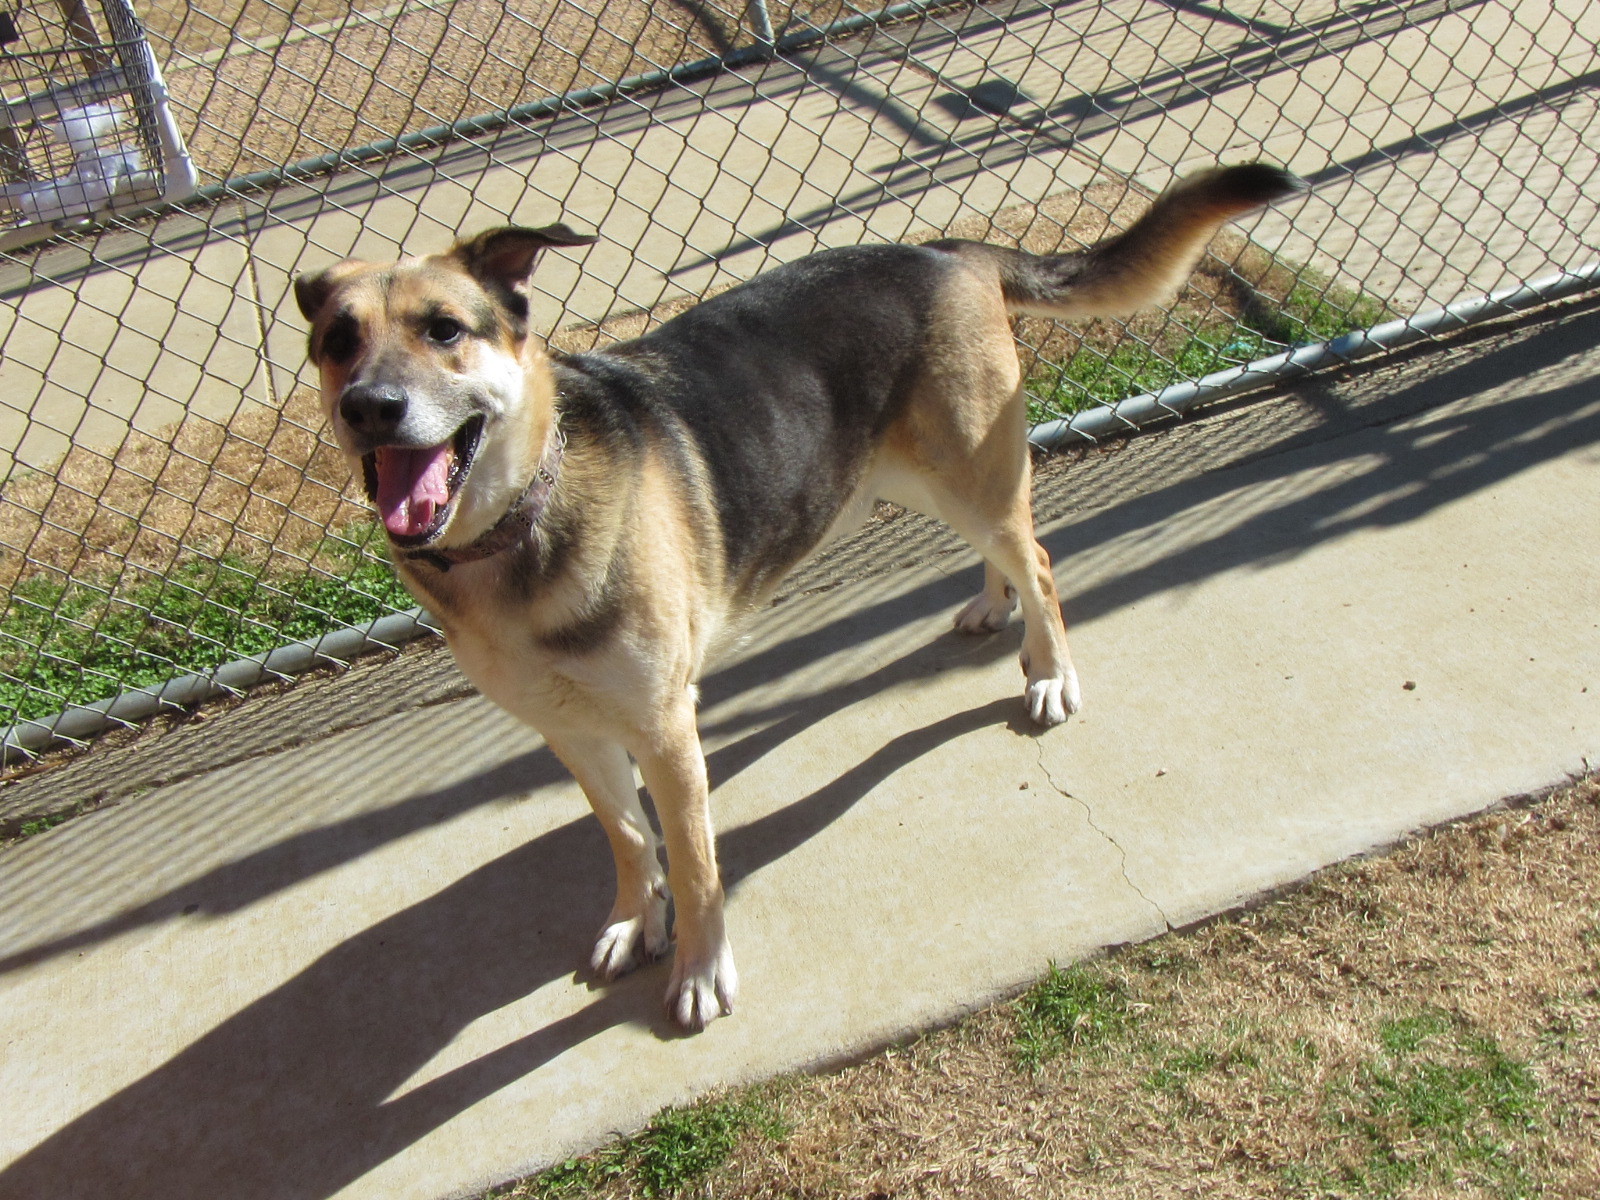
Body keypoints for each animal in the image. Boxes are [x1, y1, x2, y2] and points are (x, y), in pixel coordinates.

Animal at [294, 162, 1305, 1036]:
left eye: (444, 329)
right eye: (338, 342)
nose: (369, 408)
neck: (519, 522)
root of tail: (947, 249)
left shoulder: (663, 727)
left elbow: (696, 865)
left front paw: (700, 971)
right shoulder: (571, 729)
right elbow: (627, 837)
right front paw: (635, 920)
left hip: (970, 472)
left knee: (1042, 561)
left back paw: (1050, 672)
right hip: (915, 478)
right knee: (1003, 557)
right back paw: (992, 609)